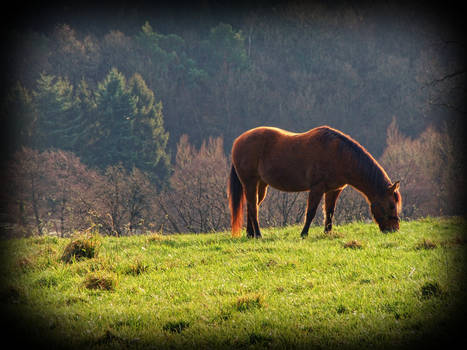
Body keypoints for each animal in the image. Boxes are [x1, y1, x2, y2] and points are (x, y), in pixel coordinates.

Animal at [228, 126, 402, 238]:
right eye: (391, 206)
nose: (394, 230)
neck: (339, 155)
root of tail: (238, 141)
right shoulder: (317, 188)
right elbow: (311, 212)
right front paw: (304, 234)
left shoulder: (334, 190)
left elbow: (330, 212)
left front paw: (328, 233)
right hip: (250, 183)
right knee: (253, 208)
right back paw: (258, 234)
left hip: (260, 185)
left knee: (252, 206)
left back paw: (250, 234)